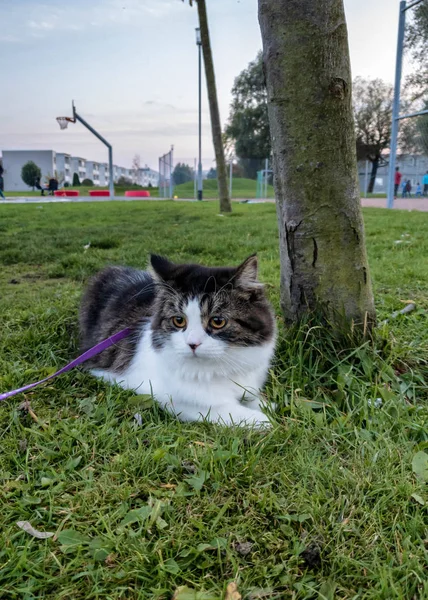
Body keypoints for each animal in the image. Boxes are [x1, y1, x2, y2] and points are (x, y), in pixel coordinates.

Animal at [78, 253, 276, 426]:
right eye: (179, 320)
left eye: (217, 321)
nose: (192, 344)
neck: (220, 367)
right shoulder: (171, 399)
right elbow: (225, 409)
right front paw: (264, 420)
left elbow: (254, 399)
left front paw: (267, 406)